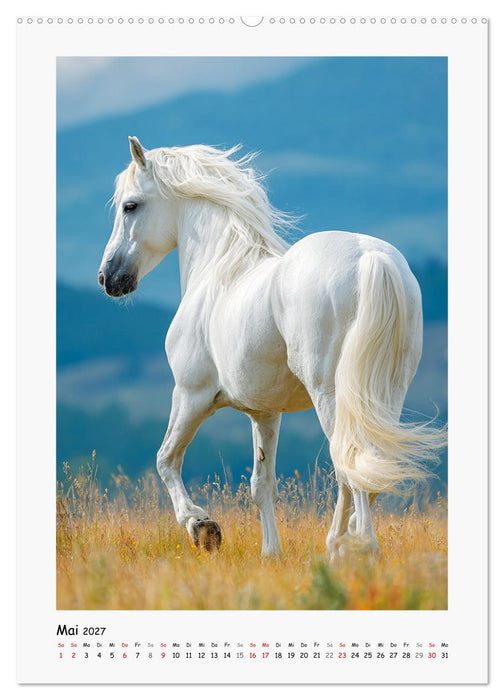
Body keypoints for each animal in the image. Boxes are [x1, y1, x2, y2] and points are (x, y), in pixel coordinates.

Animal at [98, 136, 444, 560]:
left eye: (130, 205)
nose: (108, 277)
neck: (220, 272)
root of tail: (371, 258)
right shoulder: (264, 413)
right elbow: (261, 484)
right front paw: (270, 553)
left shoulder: (191, 394)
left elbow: (166, 459)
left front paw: (202, 527)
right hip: (385, 395)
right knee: (368, 464)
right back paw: (345, 542)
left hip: (332, 395)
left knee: (348, 459)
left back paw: (351, 546)